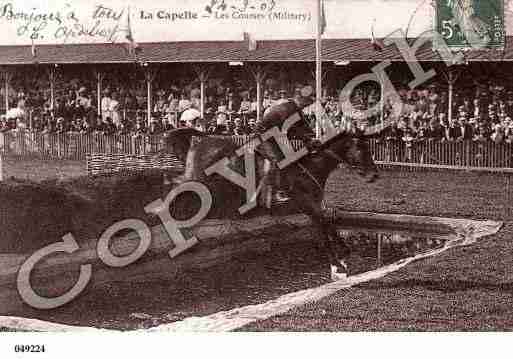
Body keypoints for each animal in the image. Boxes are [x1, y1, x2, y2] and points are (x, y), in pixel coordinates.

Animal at [162, 126, 378, 282]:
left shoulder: (314, 206)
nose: (374, 175)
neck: (311, 168)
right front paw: (338, 265)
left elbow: (328, 224)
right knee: (179, 188)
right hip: (201, 182)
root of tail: (202, 140)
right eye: (361, 148)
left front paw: (343, 256)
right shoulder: (306, 205)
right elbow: (323, 228)